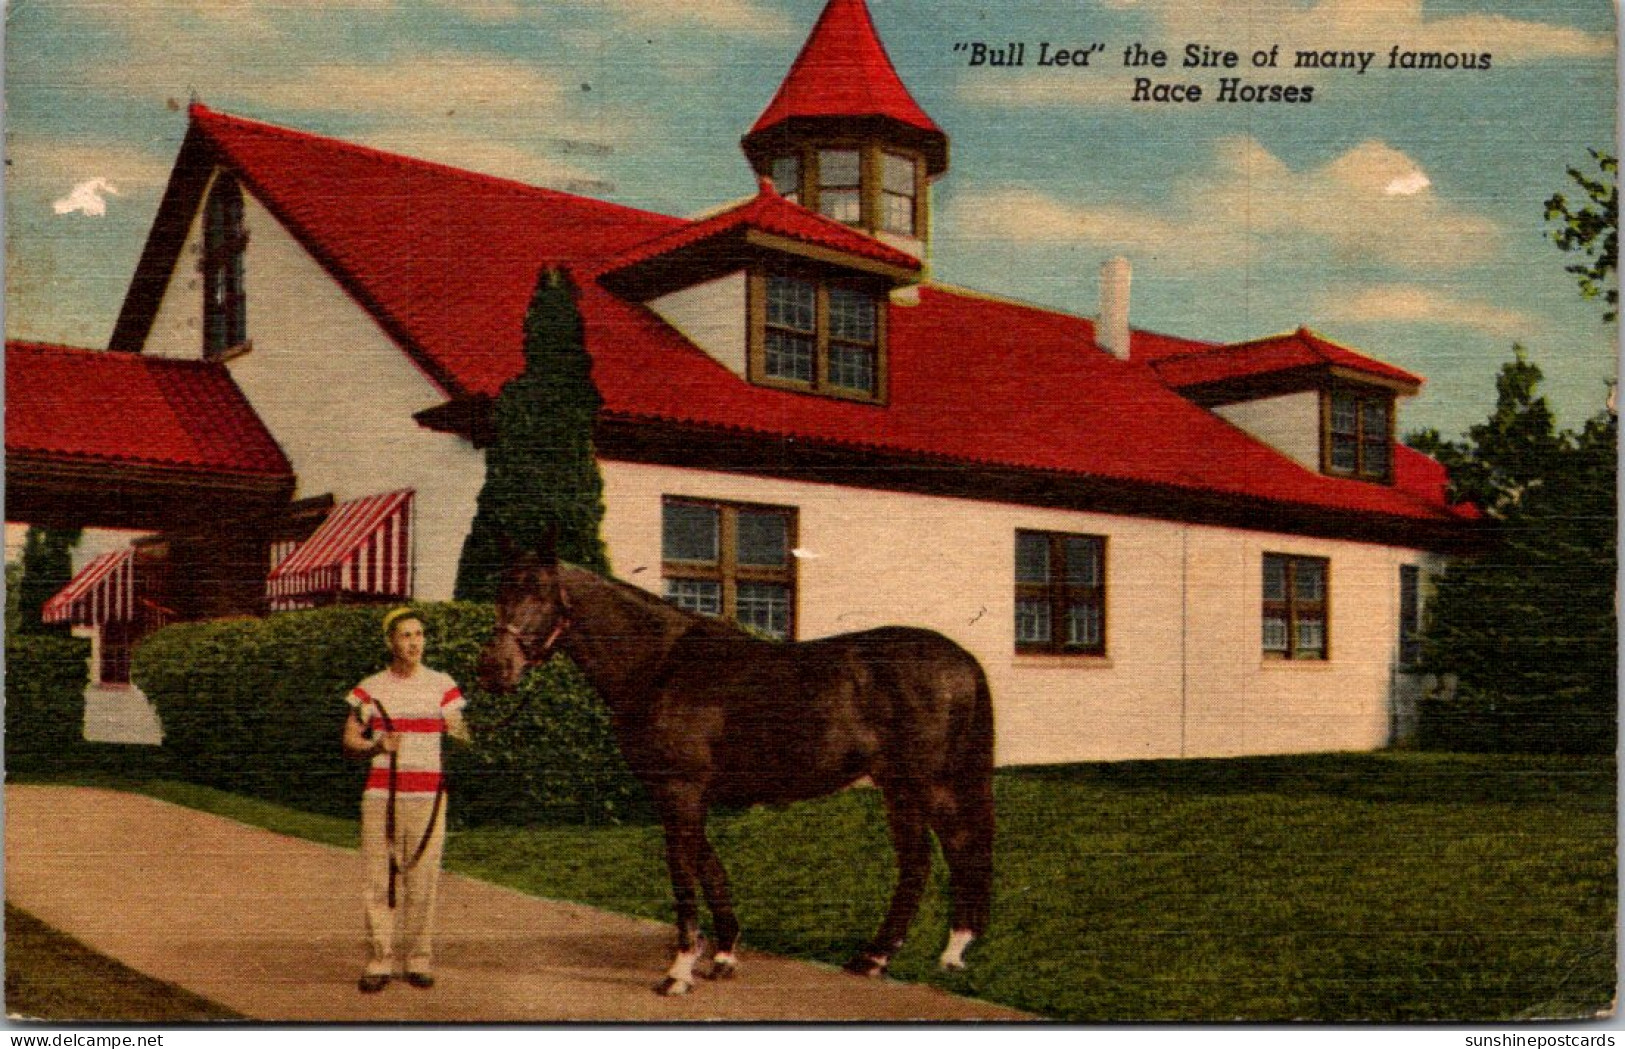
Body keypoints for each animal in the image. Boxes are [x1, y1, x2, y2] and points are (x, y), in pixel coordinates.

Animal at [474, 545, 994, 1000]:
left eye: (541, 593)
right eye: (501, 590)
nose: (494, 669)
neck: (661, 665)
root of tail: (963, 659)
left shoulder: (681, 789)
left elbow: (684, 874)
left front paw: (678, 974)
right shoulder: (680, 794)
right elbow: (710, 867)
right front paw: (723, 956)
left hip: (928, 782)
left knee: (960, 849)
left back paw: (953, 953)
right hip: (897, 786)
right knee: (917, 863)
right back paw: (874, 958)